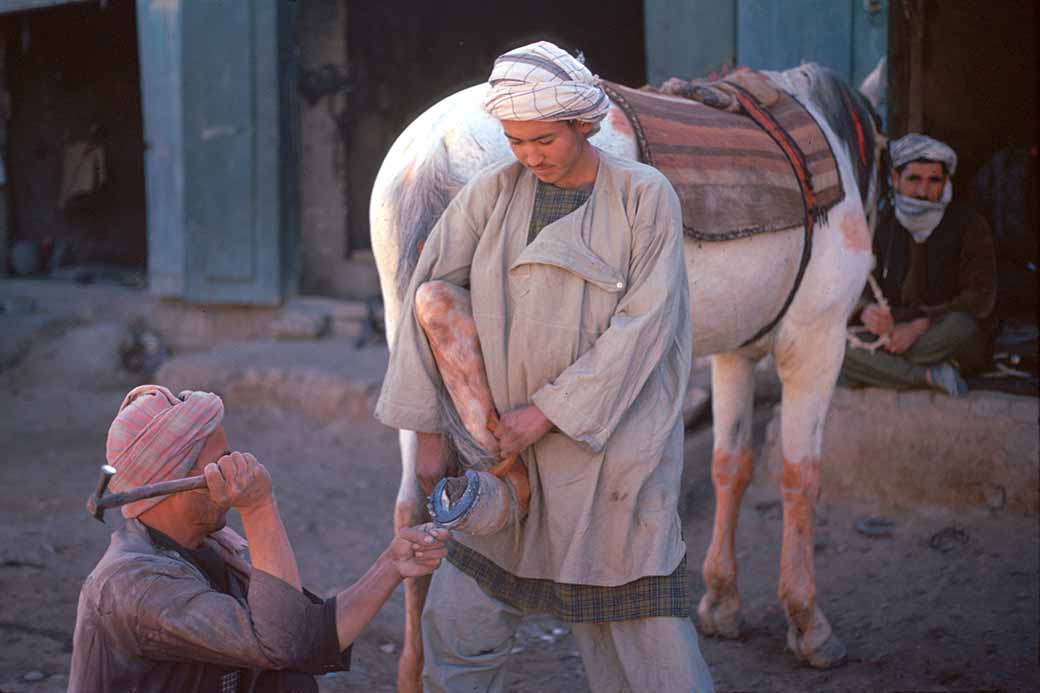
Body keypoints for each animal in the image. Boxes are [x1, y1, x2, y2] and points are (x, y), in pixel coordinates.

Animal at [370, 63, 881, 686]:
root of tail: (435, 149)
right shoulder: (816, 341)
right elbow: (800, 476)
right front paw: (809, 625)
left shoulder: (737, 351)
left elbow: (731, 464)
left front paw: (721, 603)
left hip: (403, 345)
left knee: (414, 498)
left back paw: (414, 668)